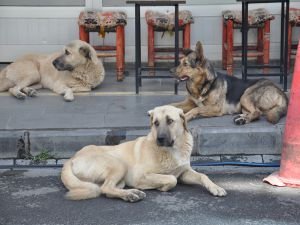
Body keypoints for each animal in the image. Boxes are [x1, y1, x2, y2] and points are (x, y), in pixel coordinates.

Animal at [60, 105, 225, 202]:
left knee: (107, 190)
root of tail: (71, 159)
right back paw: (131, 194)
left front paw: (215, 187)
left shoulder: (184, 172)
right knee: (105, 188)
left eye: (170, 121)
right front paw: (162, 187)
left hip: (120, 178)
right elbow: (172, 179)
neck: (173, 149)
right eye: (156, 123)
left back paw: (131, 193)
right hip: (118, 164)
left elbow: (203, 176)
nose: (160, 139)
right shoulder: (139, 175)